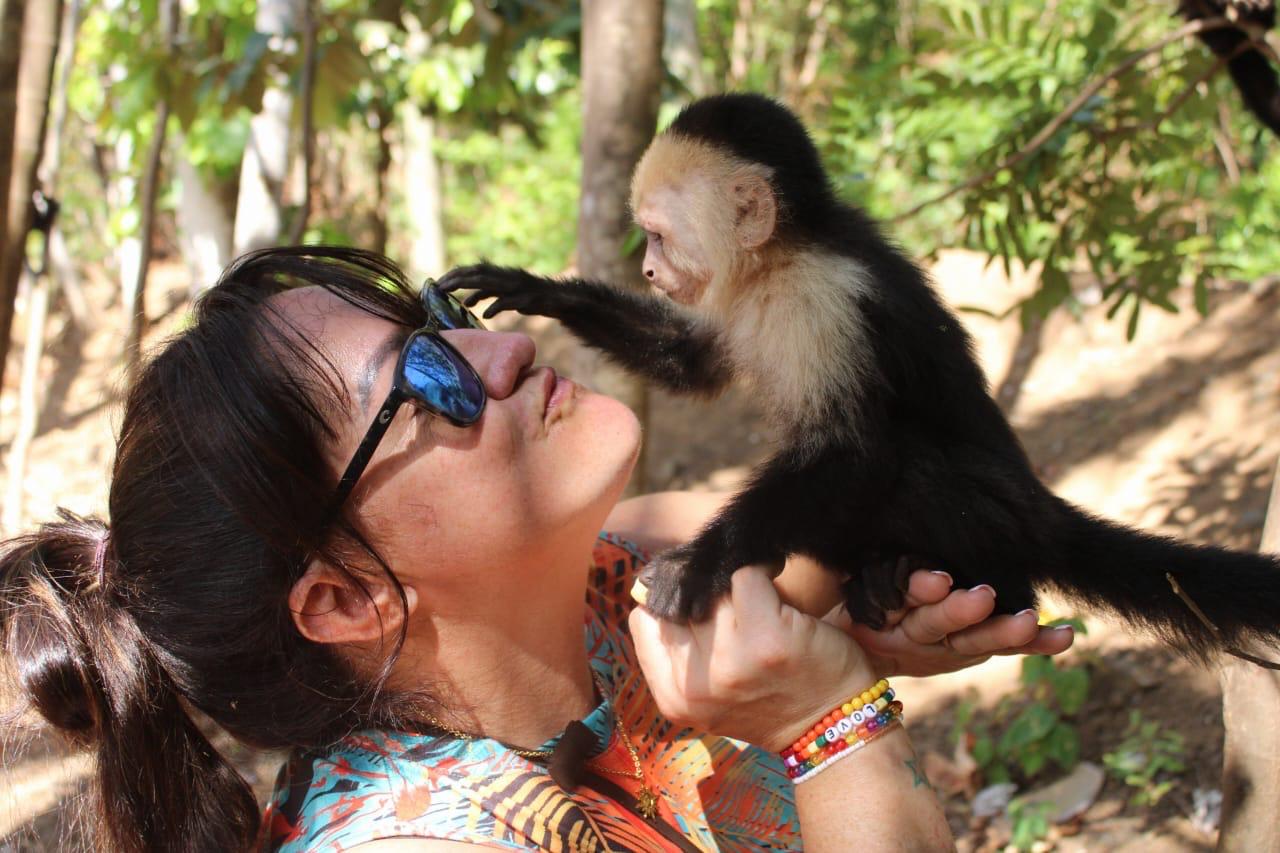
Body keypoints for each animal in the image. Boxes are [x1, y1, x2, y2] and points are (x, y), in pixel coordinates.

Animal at [439, 93, 1280, 664]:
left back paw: (979, 585)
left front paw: (703, 562)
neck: (779, 260)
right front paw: (538, 291)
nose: (646, 268)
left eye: (656, 236)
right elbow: (691, 363)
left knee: (908, 467)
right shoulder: (736, 301)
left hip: (996, 518)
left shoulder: (825, 298)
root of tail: (1039, 507)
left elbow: (852, 451)